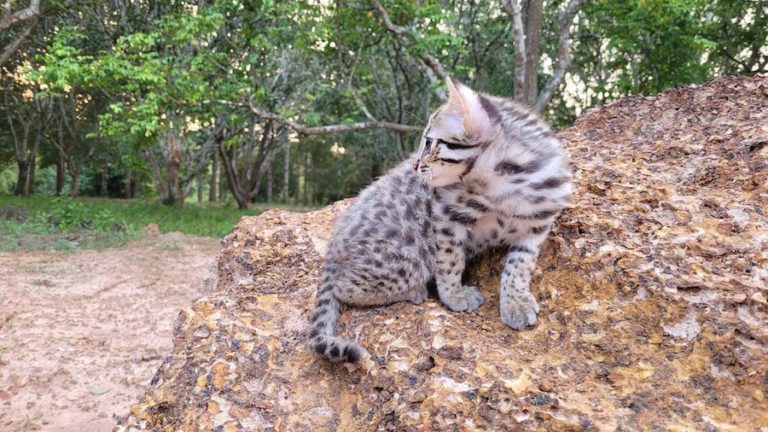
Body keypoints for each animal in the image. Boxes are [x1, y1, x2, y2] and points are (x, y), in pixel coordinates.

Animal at [308, 77, 572, 362]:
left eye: (429, 142)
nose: (414, 165)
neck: (506, 186)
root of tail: (335, 245)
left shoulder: (538, 225)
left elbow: (520, 264)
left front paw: (515, 301)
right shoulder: (445, 214)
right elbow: (450, 260)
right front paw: (454, 295)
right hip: (410, 256)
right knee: (343, 288)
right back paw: (413, 291)